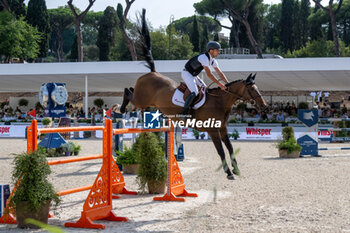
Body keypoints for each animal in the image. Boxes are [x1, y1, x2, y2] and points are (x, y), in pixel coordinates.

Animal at [120, 9, 268, 180]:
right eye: (253, 89)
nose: (264, 106)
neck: (221, 102)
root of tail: (152, 72)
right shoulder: (213, 130)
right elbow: (221, 151)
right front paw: (229, 173)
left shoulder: (222, 129)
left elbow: (230, 148)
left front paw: (236, 170)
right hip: (141, 99)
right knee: (128, 91)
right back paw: (121, 109)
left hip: (148, 102)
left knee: (131, 92)